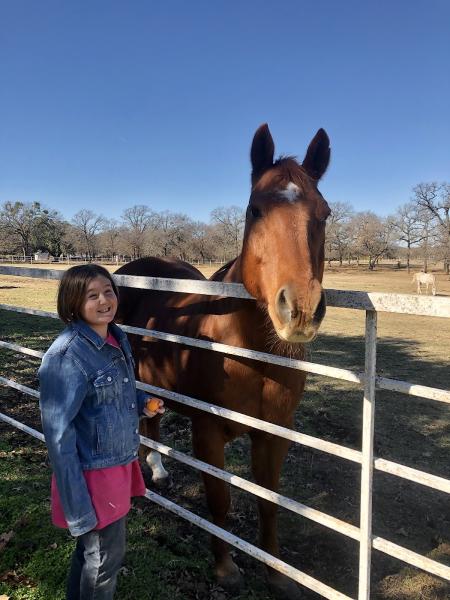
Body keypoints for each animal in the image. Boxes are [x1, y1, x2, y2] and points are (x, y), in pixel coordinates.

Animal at [116, 124, 330, 596]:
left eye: (324, 214)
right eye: (254, 210)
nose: (300, 309)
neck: (249, 353)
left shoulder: (275, 433)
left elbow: (269, 504)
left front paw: (275, 573)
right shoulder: (208, 431)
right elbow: (219, 500)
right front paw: (225, 568)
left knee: (153, 420)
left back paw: (158, 470)